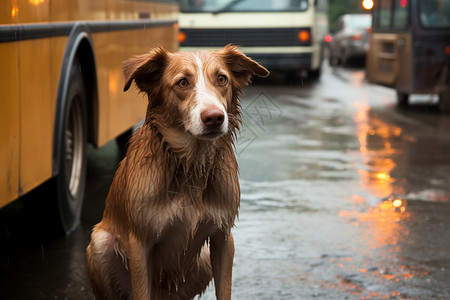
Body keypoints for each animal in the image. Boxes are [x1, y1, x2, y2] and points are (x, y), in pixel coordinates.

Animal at [86, 45, 268, 300]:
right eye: (182, 83)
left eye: (222, 79)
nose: (214, 117)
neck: (191, 165)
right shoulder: (139, 243)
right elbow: (141, 291)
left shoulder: (223, 238)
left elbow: (224, 291)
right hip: (100, 243)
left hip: (202, 262)